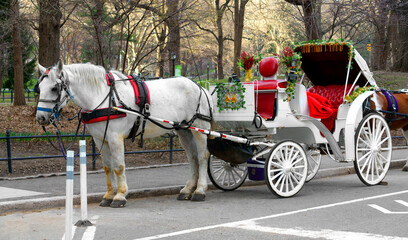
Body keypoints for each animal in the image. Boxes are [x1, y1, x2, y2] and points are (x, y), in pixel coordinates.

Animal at [35, 61, 214, 206]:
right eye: (39, 89)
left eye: (54, 88)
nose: (41, 118)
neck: (103, 97)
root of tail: (199, 86)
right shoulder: (100, 139)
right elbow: (108, 167)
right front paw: (109, 195)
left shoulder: (115, 138)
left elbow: (119, 166)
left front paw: (120, 195)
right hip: (184, 130)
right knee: (192, 157)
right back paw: (188, 189)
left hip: (199, 128)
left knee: (202, 156)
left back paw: (200, 190)